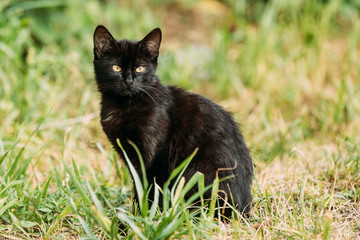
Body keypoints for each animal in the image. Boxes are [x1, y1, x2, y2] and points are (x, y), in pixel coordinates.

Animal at [92, 25, 253, 218]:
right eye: (116, 67)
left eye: (140, 68)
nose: (129, 81)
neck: (124, 105)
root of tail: (244, 207)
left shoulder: (155, 156)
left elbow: (150, 186)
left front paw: (144, 216)